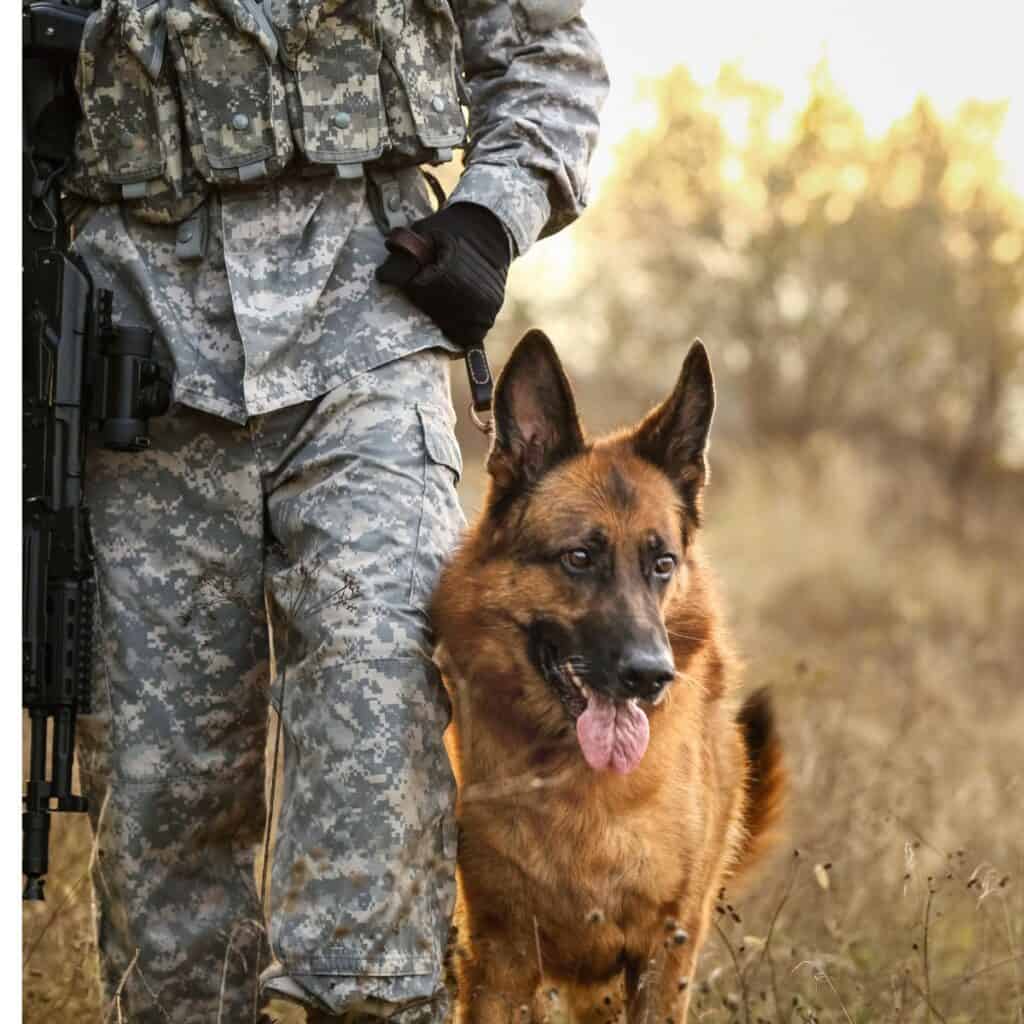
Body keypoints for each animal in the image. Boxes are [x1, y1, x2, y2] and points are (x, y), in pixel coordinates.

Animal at [432, 333, 782, 1024]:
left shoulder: (665, 955)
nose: (650, 676)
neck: (583, 790)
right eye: (578, 558)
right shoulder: (498, 962)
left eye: (662, 563)